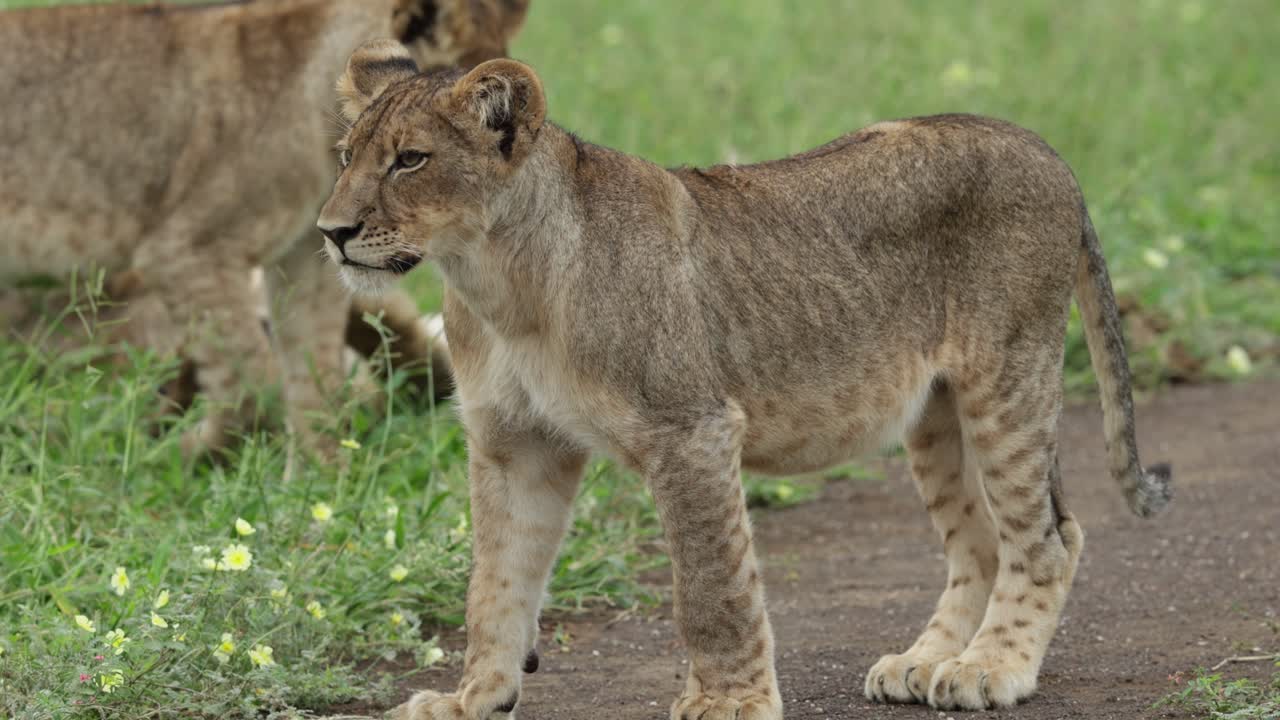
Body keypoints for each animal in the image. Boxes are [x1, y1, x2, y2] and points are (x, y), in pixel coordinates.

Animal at [0, 0, 526, 456]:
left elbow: (313, 381)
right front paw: (188, 455)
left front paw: (318, 487)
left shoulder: (307, 260)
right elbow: (253, 382)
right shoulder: (187, 252)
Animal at [318, 44, 1173, 718]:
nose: (331, 232)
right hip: (936, 410)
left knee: (1049, 536)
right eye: (345, 155)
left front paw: (729, 702)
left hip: (1007, 374)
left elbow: (711, 588)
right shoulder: (514, 444)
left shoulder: (689, 428)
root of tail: (1040, 144)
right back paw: (925, 662)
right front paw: (473, 699)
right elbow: (494, 584)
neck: (496, 281)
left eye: (410, 159)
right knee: (983, 541)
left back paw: (989, 669)